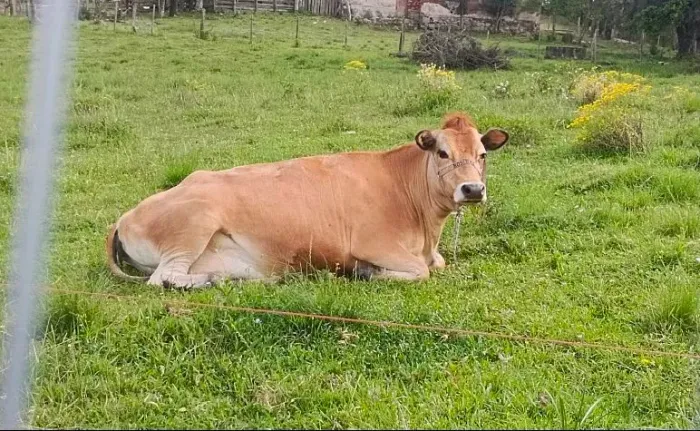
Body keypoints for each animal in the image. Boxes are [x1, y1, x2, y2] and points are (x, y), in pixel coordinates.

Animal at [105, 111, 509, 288]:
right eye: (442, 152)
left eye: (482, 155)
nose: (472, 189)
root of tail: (125, 216)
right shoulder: (374, 244)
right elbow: (420, 271)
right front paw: (366, 271)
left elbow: (435, 265)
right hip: (194, 222)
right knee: (161, 278)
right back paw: (205, 283)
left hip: (242, 260)